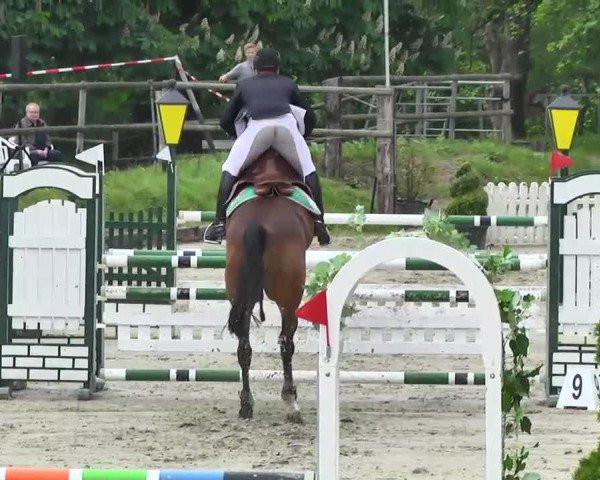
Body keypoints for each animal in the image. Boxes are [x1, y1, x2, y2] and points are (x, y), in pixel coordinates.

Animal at [224, 148, 314, 422]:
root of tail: (258, 221)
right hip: (290, 296)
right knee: (286, 341)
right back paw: (291, 403)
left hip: (237, 292)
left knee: (244, 345)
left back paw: (246, 404)